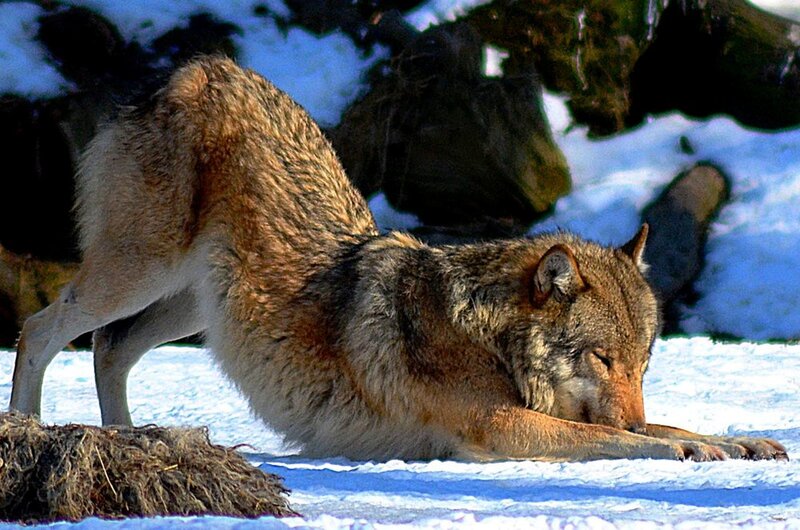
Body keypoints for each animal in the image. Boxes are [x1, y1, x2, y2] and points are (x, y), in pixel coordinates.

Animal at [9, 56, 786, 462]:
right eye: (600, 357)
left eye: (643, 362)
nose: (629, 409)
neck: (489, 336)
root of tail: (195, 69)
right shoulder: (500, 428)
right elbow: (610, 439)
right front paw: (681, 451)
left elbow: (659, 423)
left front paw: (739, 442)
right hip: (138, 275)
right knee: (42, 328)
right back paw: (26, 428)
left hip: (189, 310)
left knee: (109, 348)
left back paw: (132, 438)